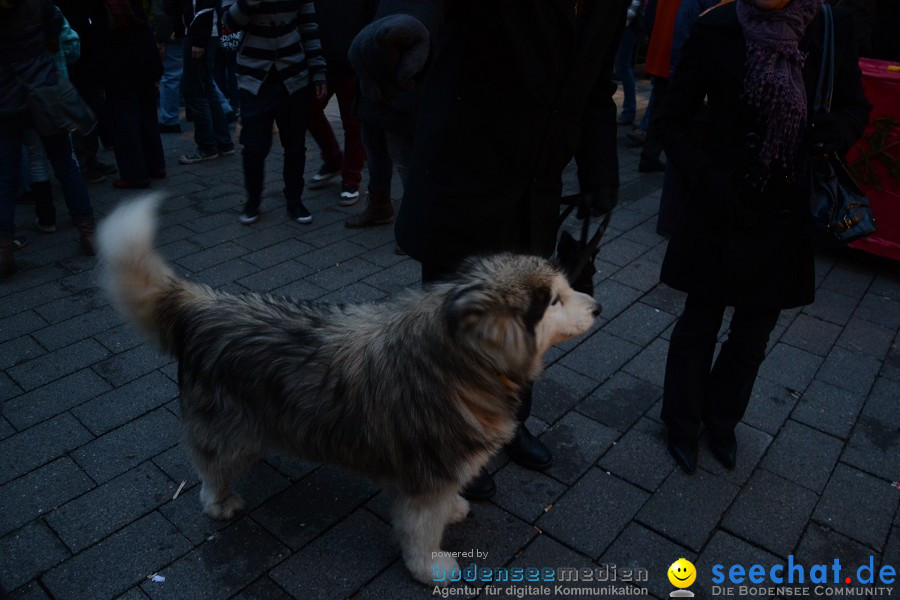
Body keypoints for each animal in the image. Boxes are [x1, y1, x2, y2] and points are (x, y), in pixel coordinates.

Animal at [96, 198, 596, 584]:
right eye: (553, 300)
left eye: (565, 288)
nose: (598, 305)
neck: (461, 359)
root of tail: (201, 307)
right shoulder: (422, 480)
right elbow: (420, 532)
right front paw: (429, 569)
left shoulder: (439, 471)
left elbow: (443, 505)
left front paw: (455, 507)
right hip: (228, 430)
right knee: (210, 467)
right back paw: (219, 502)